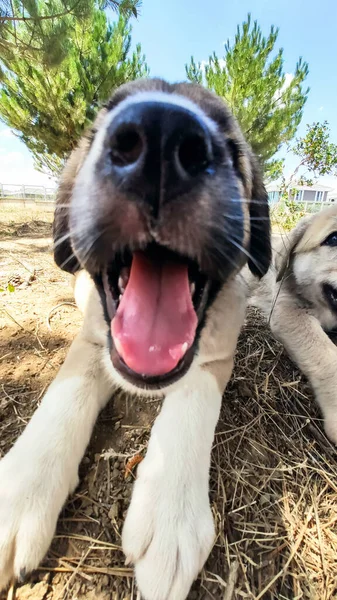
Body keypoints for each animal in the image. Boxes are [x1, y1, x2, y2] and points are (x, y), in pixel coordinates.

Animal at [0, 79, 270, 600]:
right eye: (103, 118)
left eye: (230, 141)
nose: (162, 137)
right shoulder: (92, 342)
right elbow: (64, 396)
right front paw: (21, 490)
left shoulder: (213, 357)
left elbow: (191, 402)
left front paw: (170, 516)